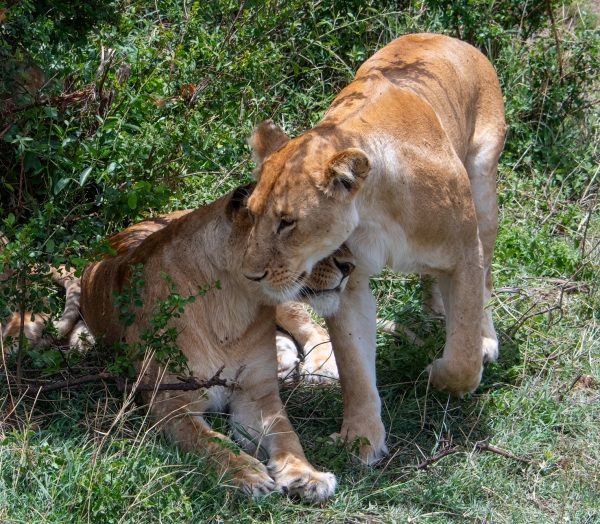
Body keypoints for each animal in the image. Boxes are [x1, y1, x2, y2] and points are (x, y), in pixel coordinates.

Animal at [79, 186, 356, 502]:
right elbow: (210, 441)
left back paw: (320, 368)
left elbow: (287, 435)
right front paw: (248, 474)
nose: (350, 266)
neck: (235, 306)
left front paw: (307, 476)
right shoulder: (171, 403)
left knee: (313, 328)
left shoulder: (256, 396)